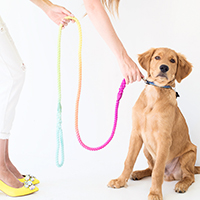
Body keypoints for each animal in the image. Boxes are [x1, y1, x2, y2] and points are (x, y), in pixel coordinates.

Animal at [108, 47, 200, 199]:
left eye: (173, 60)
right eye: (157, 57)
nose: (164, 67)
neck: (155, 94)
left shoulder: (164, 139)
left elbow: (158, 171)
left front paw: (155, 193)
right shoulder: (136, 134)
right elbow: (129, 160)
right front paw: (120, 181)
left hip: (189, 154)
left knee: (189, 176)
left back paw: (181, 184)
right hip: (146, 148)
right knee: (151, 169)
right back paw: (138, 173)